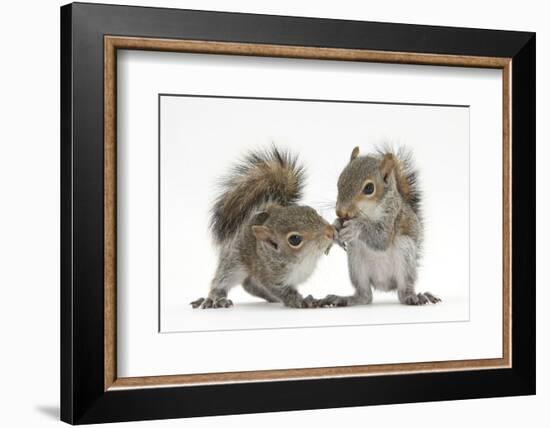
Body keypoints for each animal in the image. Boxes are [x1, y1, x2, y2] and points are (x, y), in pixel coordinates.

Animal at [190, 146, 336, 308]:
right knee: (224, 279)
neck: (303, 260)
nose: (330, 232)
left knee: (249, 284)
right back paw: (214, 298)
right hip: (234, 261)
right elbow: (283, 291)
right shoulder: (268, 275)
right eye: (295, 239)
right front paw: (300, 301)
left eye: (312, 211)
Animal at [322, 145, 442, 306]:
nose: (340, 211)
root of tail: (384, 285)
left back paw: (413, 297)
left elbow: (381, 239)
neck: (368, 212)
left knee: (402, 291)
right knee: (365, 296)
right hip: (356, 261)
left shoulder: (392, 216)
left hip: (405, 253)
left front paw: (355, 227)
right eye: (340, 180)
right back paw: (344, 299)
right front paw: (335, 225)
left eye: (369, 188)